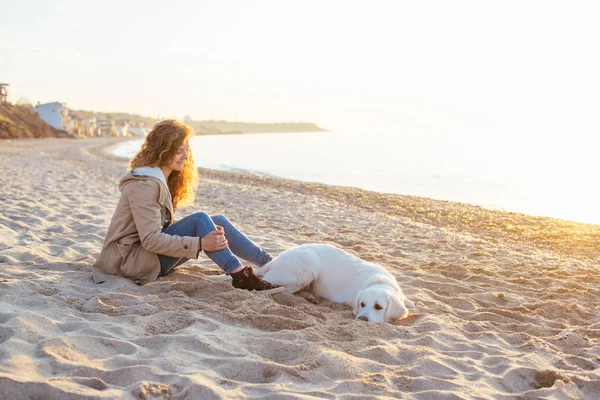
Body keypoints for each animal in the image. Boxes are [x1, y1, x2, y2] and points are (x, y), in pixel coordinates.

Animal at [253, 244, 412, 322]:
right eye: (362, 304)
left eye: (379, 307)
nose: (362, 319)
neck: (380, 281)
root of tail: (275, 260)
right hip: (308, 265)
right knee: (279, 288)